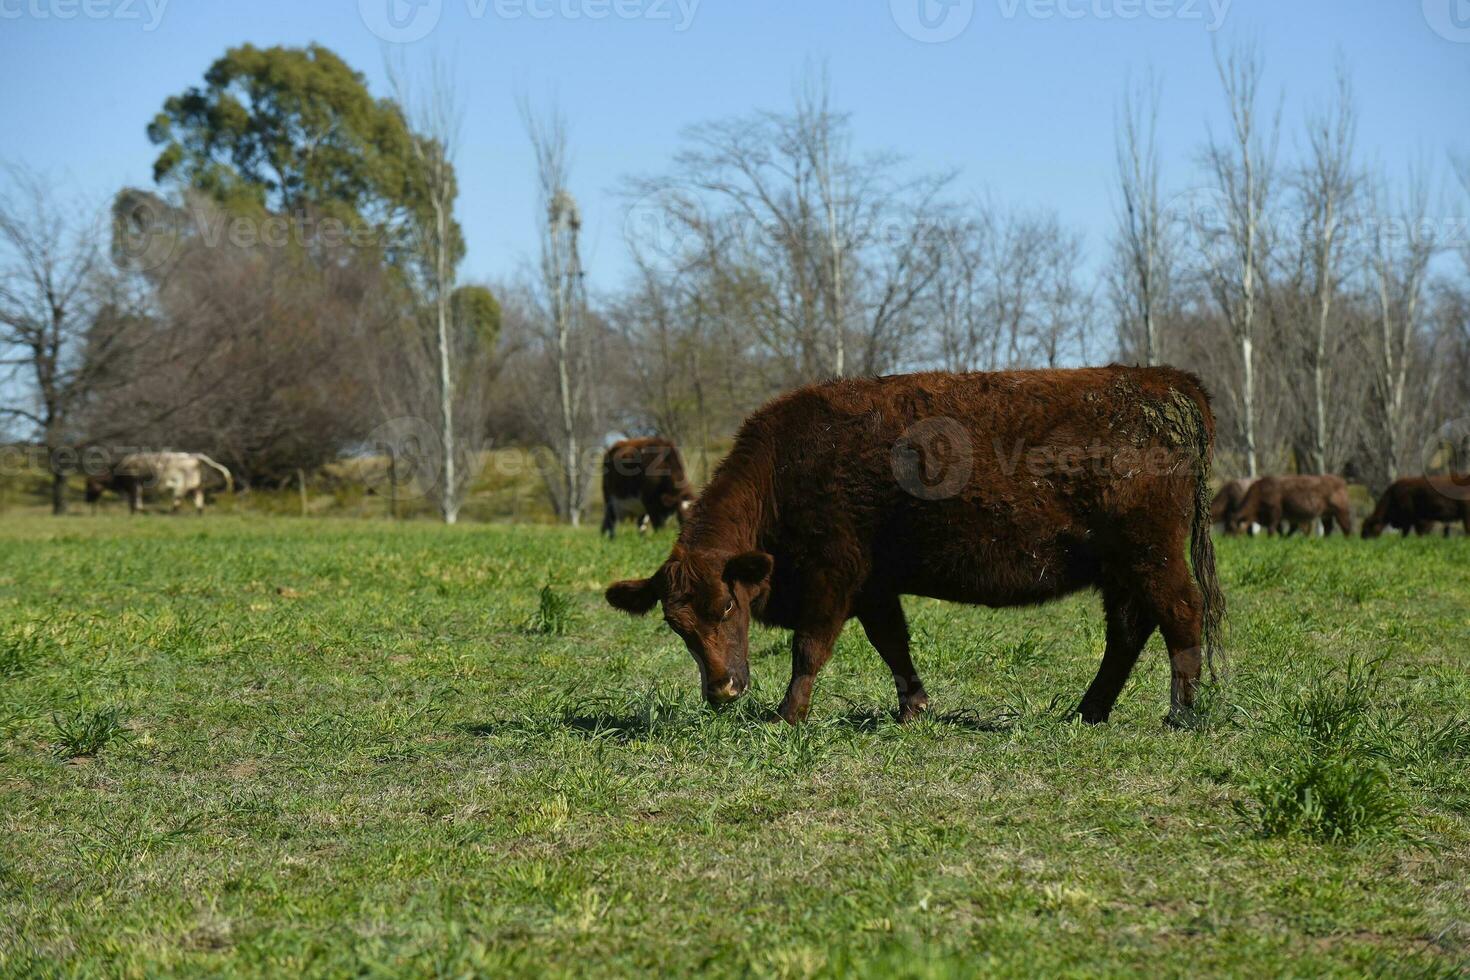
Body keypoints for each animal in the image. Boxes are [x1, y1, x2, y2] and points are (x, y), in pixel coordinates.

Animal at [602, 367, 1223, 728]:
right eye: (676, 625)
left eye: (728, 606)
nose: (723, 689)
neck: (788, 467)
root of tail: (1163, 381)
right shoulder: (873, 585)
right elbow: (892, 643)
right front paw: (914, 708)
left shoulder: (833, 576)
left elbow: (810, 647)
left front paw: (787, 715)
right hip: (1121, 569)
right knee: (1129, 632)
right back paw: (1089, 711)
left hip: (1152, 556)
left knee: (1181, 614)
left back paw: (1180, 714)